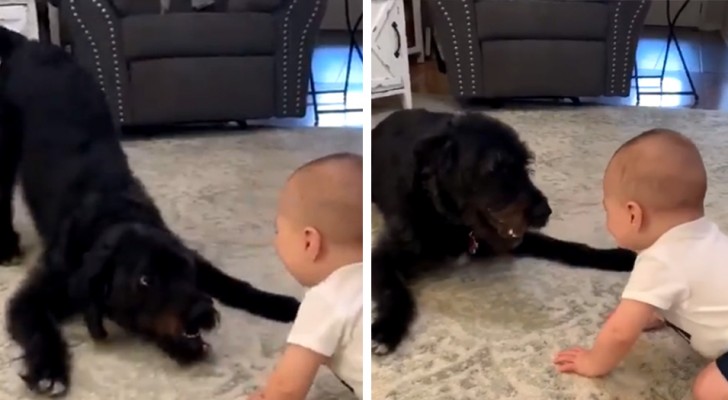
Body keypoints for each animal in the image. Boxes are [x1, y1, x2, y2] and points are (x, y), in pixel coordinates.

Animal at [0, 28, 298, 396]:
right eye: (146, 280)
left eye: (183, 268)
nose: (202, 312)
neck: (113, 216)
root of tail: (29, 43)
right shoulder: (30, 297)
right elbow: (39, 328)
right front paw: (48, 370)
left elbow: (232, 283)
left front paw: (280, 303)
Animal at [372, 108, 636, 354]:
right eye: (495, 168)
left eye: (526, 164)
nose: (545, 212)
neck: (451, 222)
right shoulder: (383, 255)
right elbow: (395, 291)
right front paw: (387, 329)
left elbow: (565, 246)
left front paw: (617, 256)